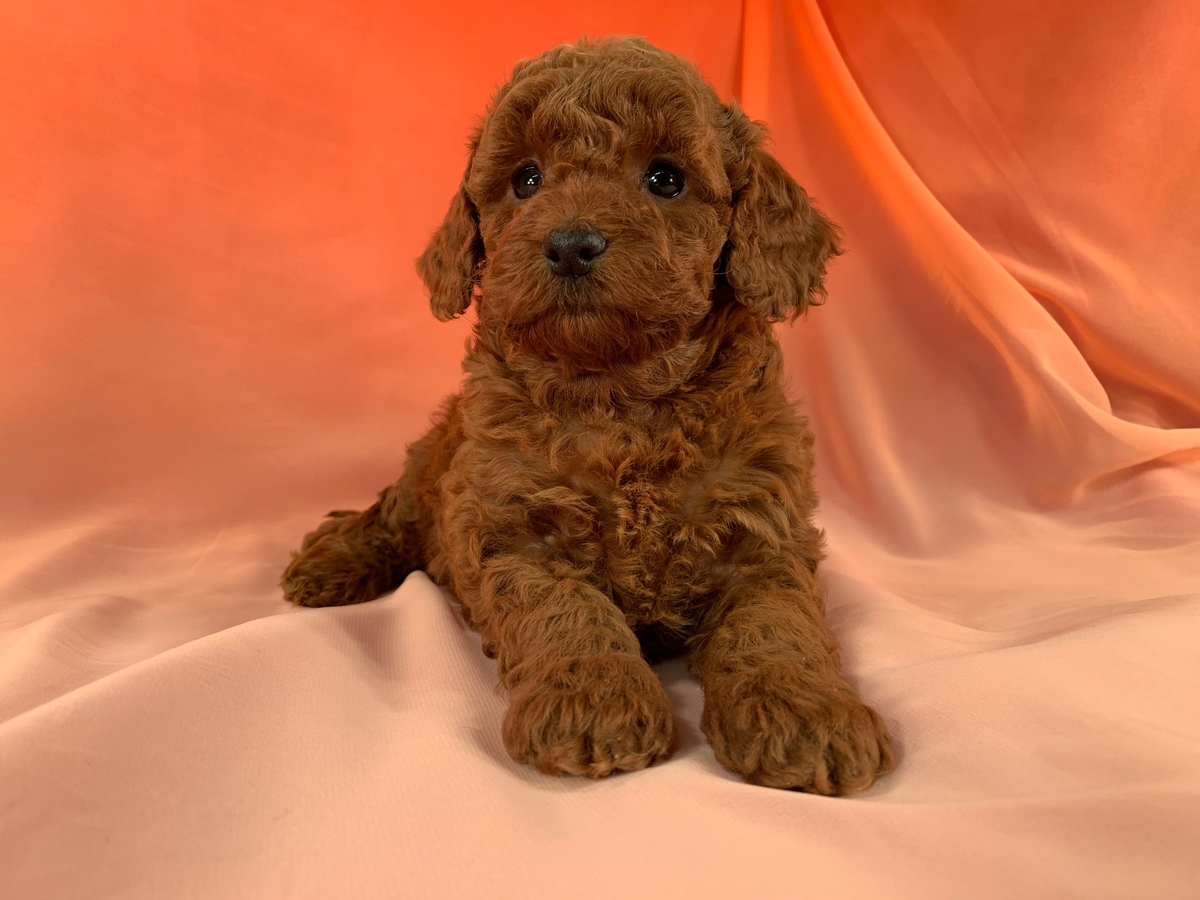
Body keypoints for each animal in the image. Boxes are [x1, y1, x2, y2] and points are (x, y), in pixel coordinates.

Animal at [285, 35, 897, 796]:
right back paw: (331, 558)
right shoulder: (512, 525)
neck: (619, 397)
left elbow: (777, 625)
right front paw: (593, 702)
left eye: (665, 178)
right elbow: (566, 614)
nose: (571, 243)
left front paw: (805, 712)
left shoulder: (761, 528)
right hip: (435, 457)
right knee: (391, 514)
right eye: (526, 179)